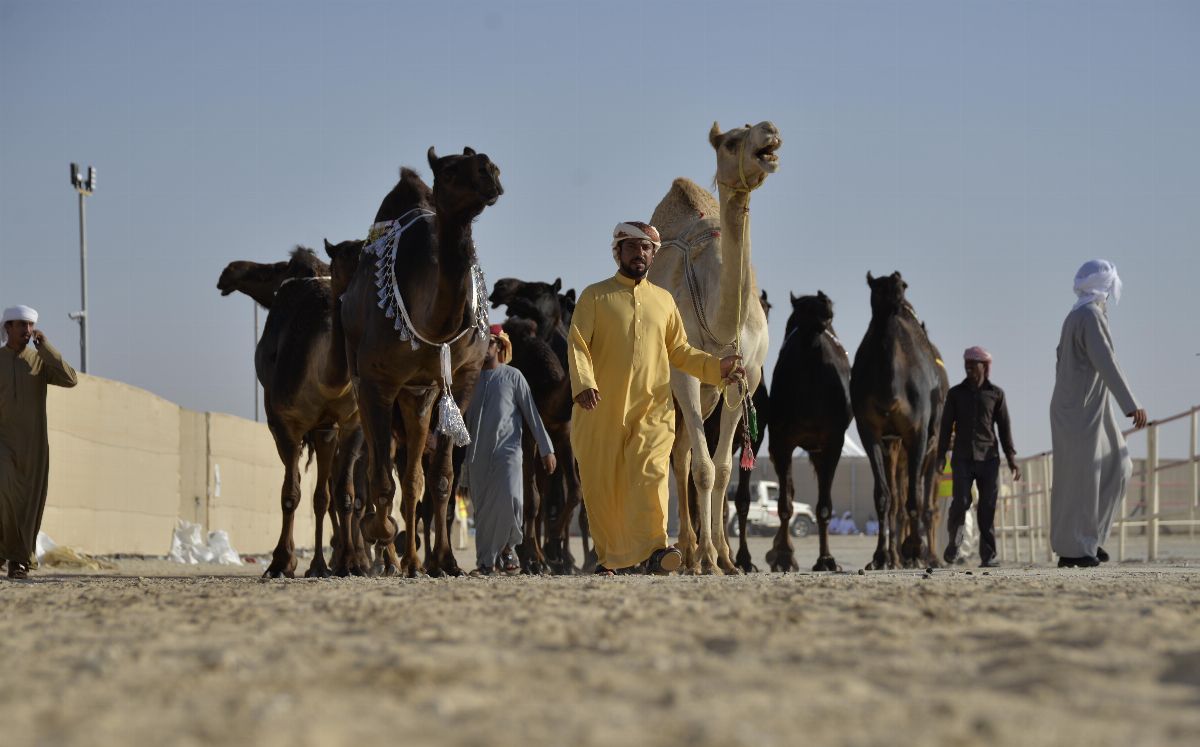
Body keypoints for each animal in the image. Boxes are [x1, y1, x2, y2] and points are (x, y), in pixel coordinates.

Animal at [343, 147, 501, 578]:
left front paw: (445, 561)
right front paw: (380, 533)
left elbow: (441, 478)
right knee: (376, 468)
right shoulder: (377, 381)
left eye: (485, 163)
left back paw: (414, 561)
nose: (490, 171)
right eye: (448, 171)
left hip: (418, 396)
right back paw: (388, 553)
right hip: (363, 384)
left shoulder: (461, 379)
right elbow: (381, 478)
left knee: (414, 477)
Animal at [652, 121, 782, 574]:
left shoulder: (744, 377)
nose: (770, 131)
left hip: (710, 394)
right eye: (730, 141)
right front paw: (707, 558)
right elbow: (705, 469)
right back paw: (688, 552)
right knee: (681, 458)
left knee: (684, 453)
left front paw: (726, 558)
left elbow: (724, 468)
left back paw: (696, 551)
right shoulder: (684, 373)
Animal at [768, 293, 854, 574]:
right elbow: (784, 504)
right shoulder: (781, 441)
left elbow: (824, 507)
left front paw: (826, 559)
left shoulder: (833, 443)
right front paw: (783, 556)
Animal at [854, 272, 945, 571]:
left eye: (903, 285)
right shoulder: (869, 432)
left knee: (922, 496)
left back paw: (922, 554)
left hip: (930, 445)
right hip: (894, 445)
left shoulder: (918, 432)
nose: (895, 294)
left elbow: (914, 498)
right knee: (897, 496)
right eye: (875, 287)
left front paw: (916, 552)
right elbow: (884, 496)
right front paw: (880, 558)